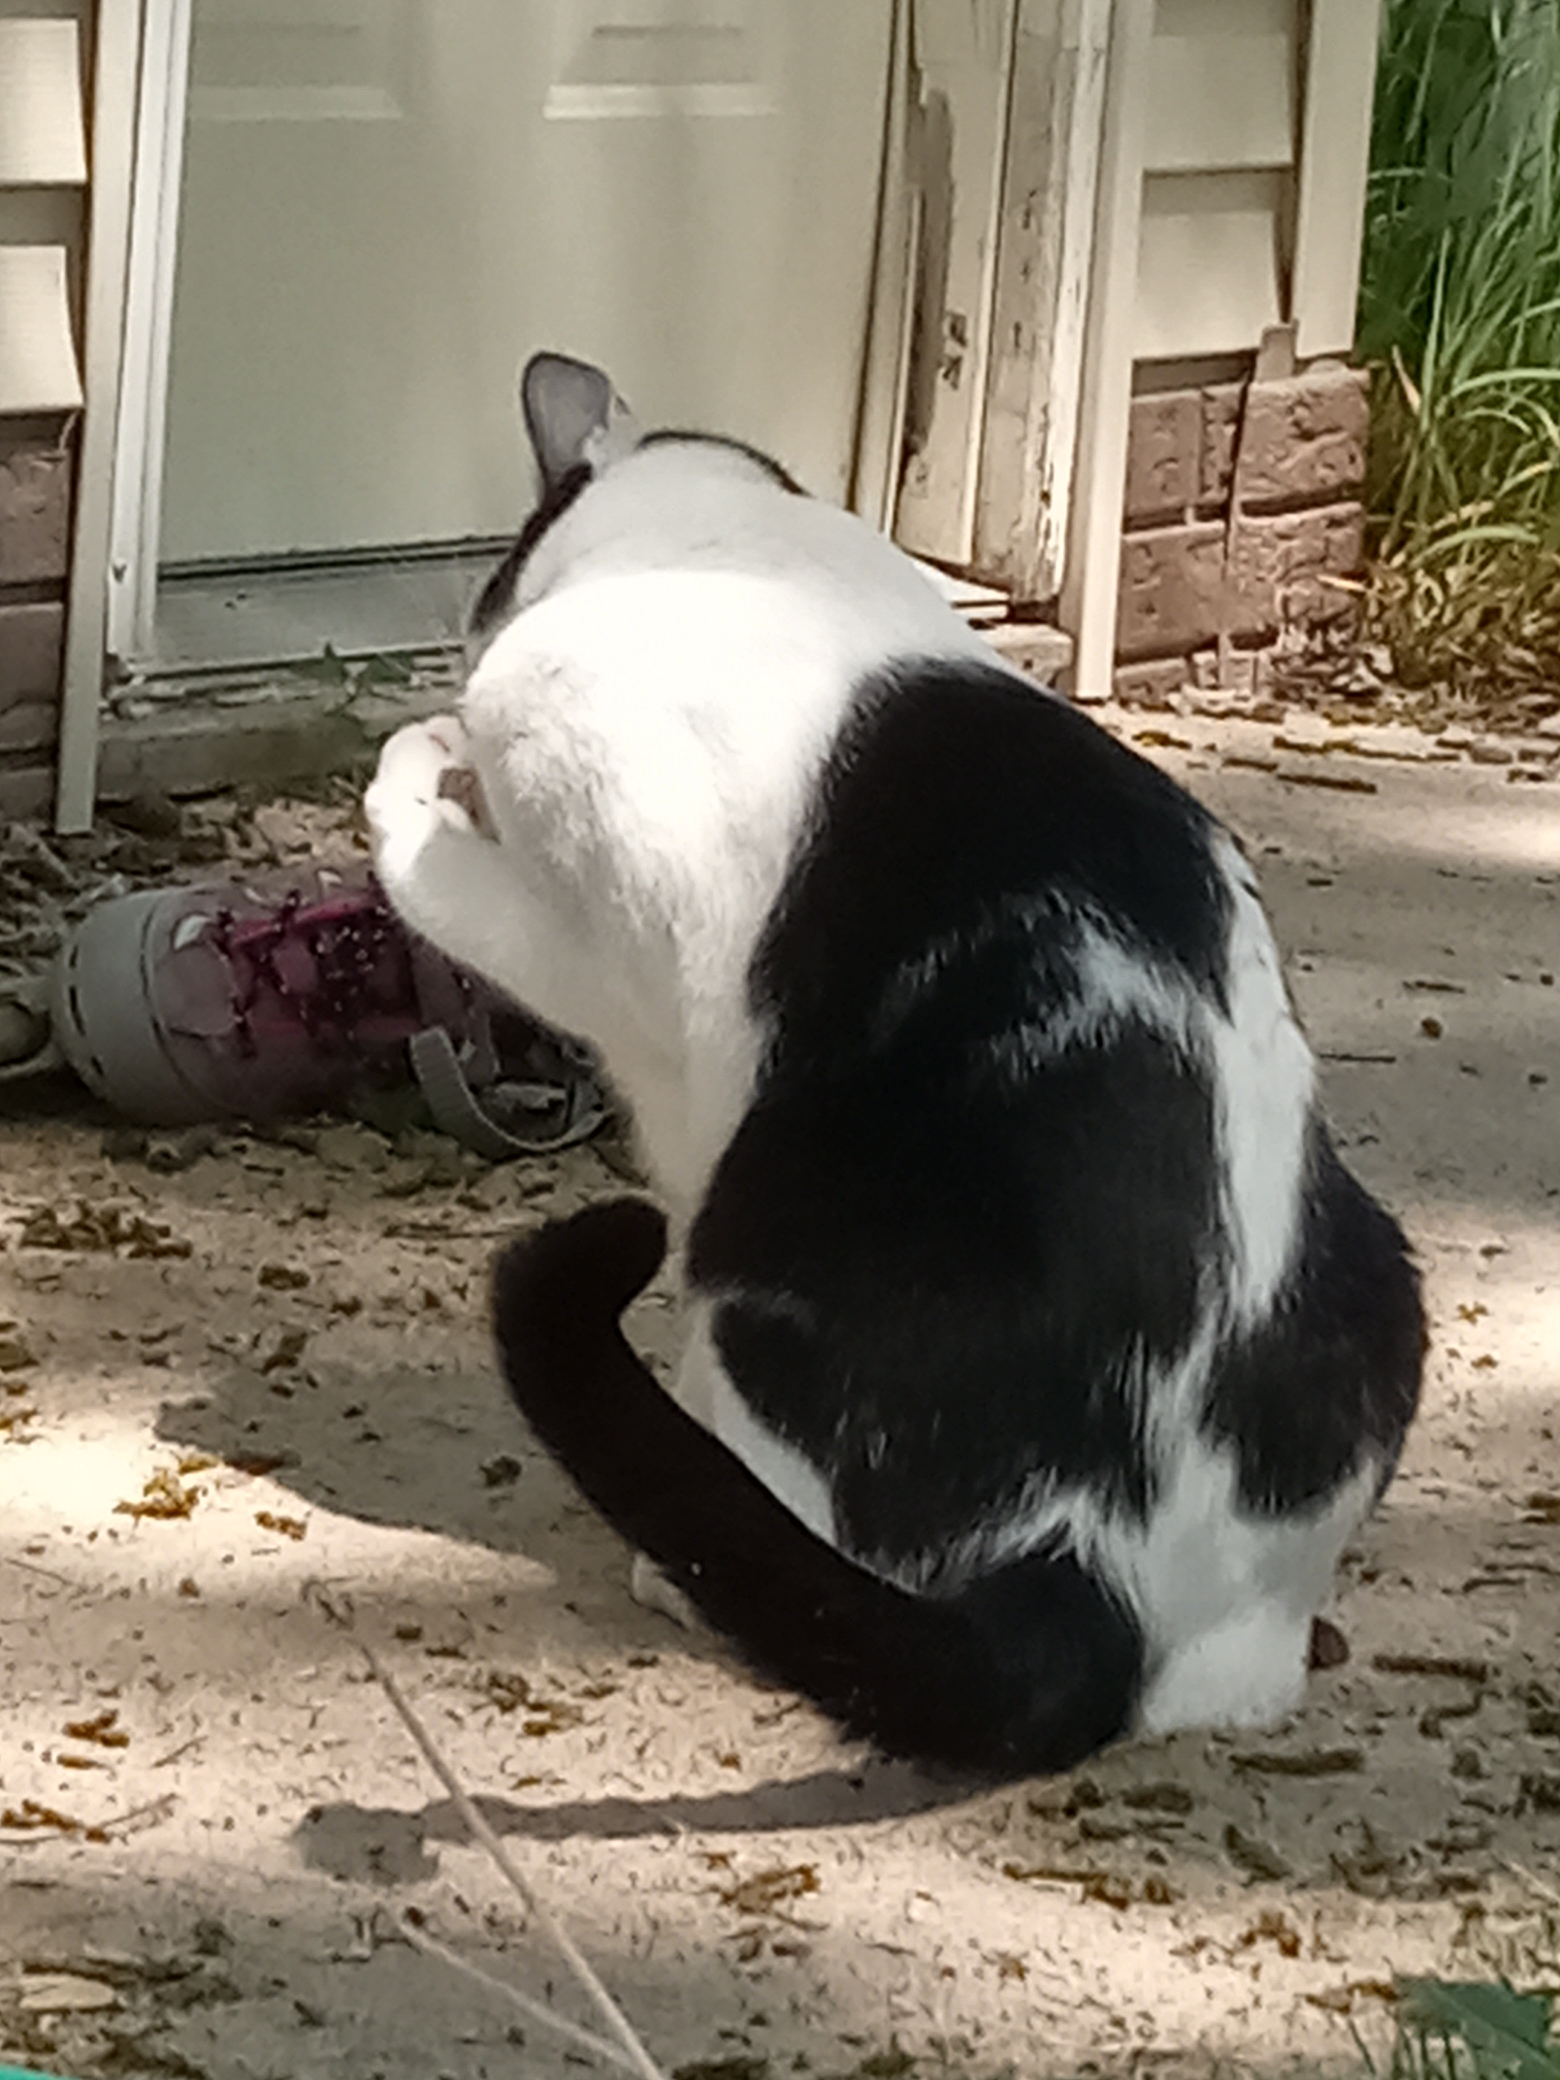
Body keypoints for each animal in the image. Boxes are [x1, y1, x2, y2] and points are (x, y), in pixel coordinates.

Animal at [366, 349, 1431, 1780]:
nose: (460, 647)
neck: (733, 550)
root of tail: (1098, 1578)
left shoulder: (594, 937)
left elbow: (443, 870)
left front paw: (420, 765)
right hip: (1377, 1267)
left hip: (772, 1242)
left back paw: (680, 1567)